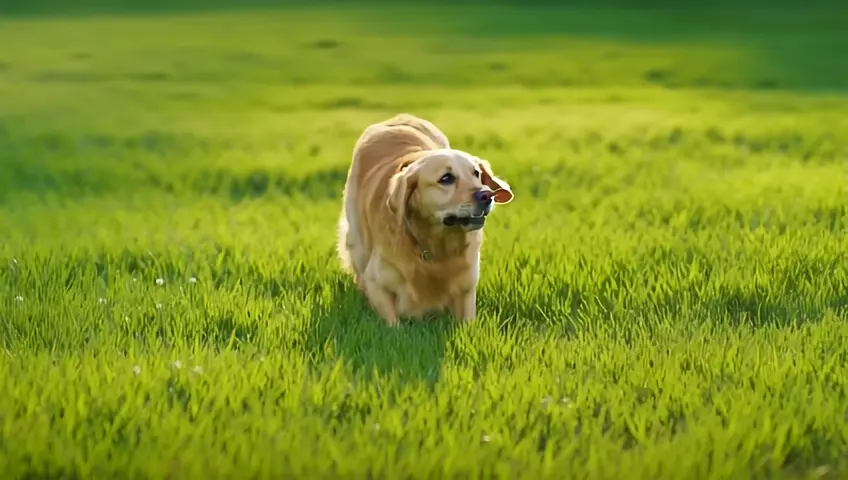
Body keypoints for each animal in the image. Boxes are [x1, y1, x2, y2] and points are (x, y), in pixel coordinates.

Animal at [336, 114, 510, 328]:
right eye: (446, 178)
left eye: (476, 173)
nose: (487, 195)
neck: (437, 247)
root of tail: (399, 117)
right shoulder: (377, 282)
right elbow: (393, 324)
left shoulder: (467, 286)